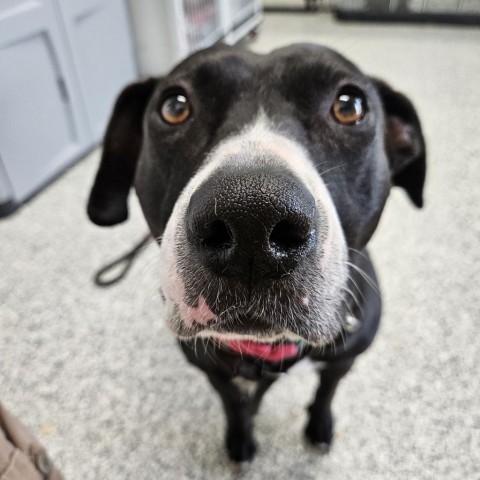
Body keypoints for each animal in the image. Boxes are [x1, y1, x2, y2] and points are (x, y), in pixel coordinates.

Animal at [86, 43, 424, 464]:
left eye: (350, 106)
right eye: (175, 106)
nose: (251, 216)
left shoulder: (344, 358)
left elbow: (326, 391)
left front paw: (319, 425)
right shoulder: (212, 368)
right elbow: (234, 404)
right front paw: (240, 440)